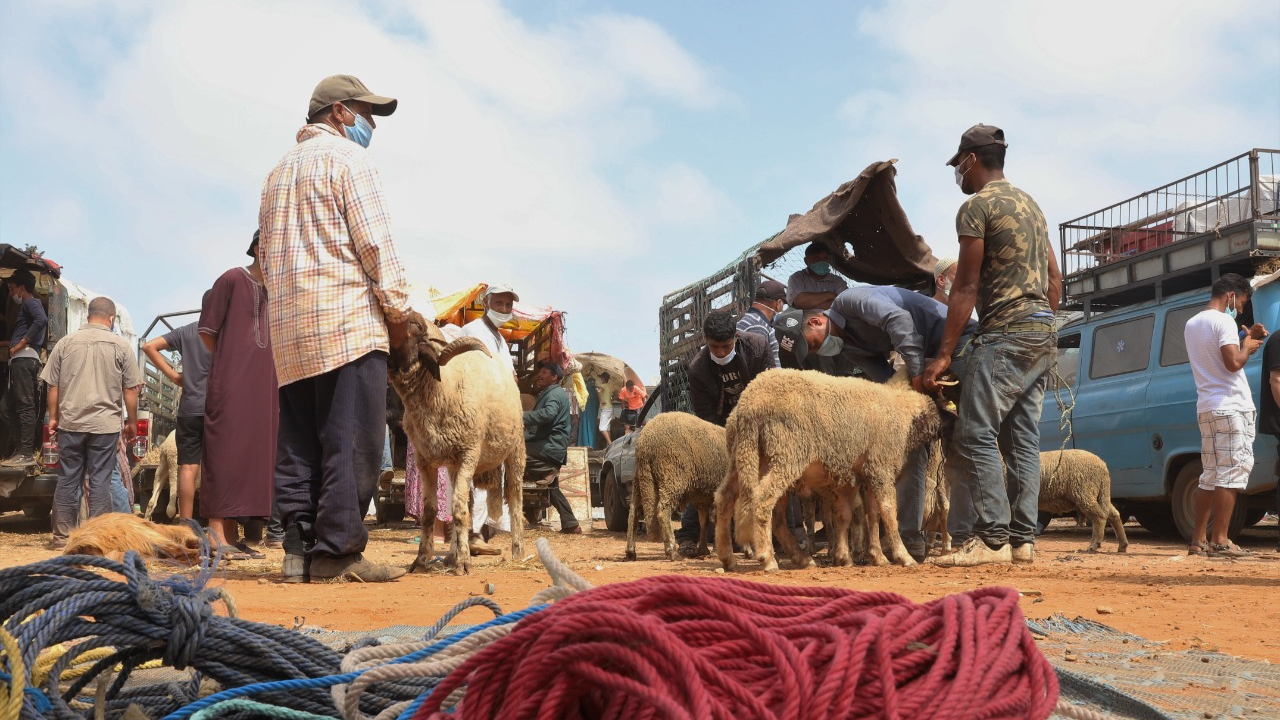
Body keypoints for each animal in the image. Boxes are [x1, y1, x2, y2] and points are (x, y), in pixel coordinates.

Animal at [384, 308, 524, 571]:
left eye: (415, 324)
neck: (441, 389)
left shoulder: (469, 452)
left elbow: (458, 510)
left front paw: (464, 562)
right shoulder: (425, 460)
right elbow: (431, 511)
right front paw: (422, 560)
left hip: (515, 449)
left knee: (514, 498)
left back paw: (518, 551)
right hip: (453, 464)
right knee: (465, 502)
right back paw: (451, 554)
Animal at [622, 409, 727, 561]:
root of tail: (645, 443)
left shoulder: (703, 498)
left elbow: (704, 521)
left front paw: (703, 549)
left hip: (640, 480)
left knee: (633, 513)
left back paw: (630, 552)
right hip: (671, 477)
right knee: (662, 511)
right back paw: (672, 551)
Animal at [721, 366, 942, 568]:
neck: (899, 408)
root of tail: (751, 401)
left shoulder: (858, 475)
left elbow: (859, 515)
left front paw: (864, 556)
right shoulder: (881, 469)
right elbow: (887, 513)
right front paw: (903, 556)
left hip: (744, 457)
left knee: (728, 498)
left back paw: (734, 557)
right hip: (785, 456)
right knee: (763, 500)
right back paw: (767, 558)